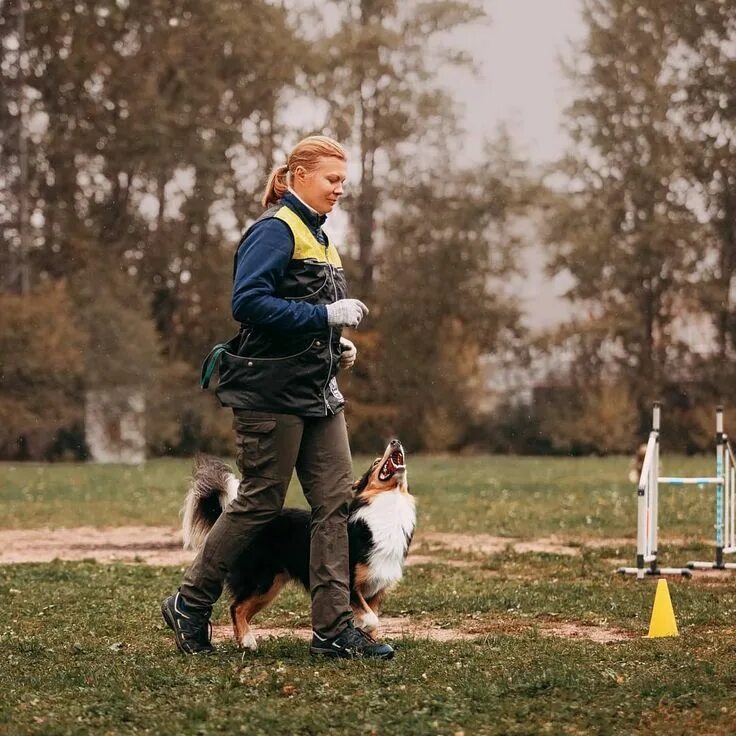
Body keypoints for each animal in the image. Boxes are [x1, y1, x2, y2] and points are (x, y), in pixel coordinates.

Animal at [180, 436, 414, 648]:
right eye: (376, 462)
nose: (395, 441)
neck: (388, 505)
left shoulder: (375, 590)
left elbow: (373, 620)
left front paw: (368, 643)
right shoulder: (349, 582)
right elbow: (372, 620)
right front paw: (359, 631)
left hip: (271, 586)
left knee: (242, 608)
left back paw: (243, 642)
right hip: (262, 580)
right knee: (236, 607)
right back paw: (247, 641)